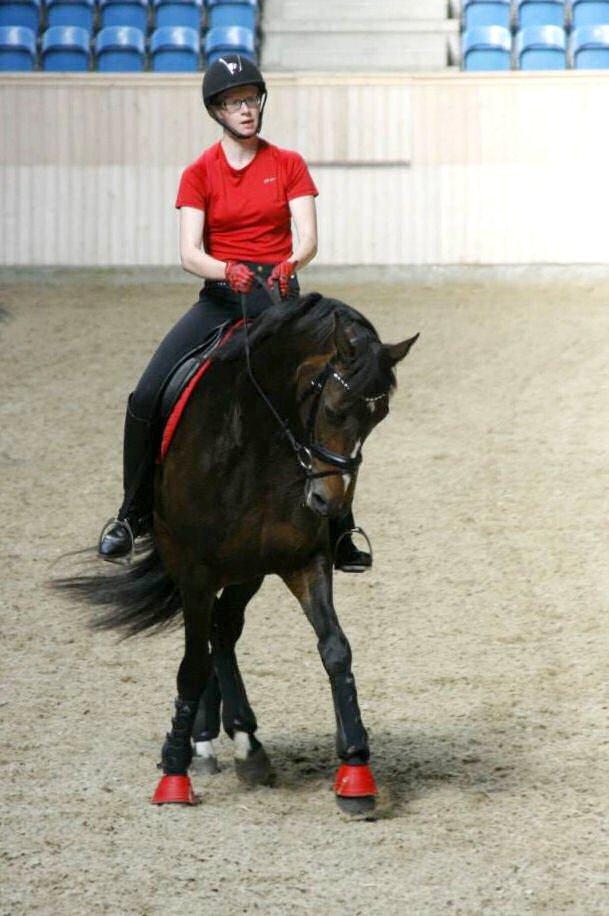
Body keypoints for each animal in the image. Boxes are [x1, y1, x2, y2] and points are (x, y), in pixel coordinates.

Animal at [58, 292, 418, 816]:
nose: (328, 503)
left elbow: (335, 648)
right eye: (332, 407)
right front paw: (173, 772)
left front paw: (355, 770)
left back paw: (243, 741)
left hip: (247, 571)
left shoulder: (301, 559)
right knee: (207, 639)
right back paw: (204, 743)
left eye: (379, 416)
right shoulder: (195, 569)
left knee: (222, 634)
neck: (254, 442)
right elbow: (190, 666)